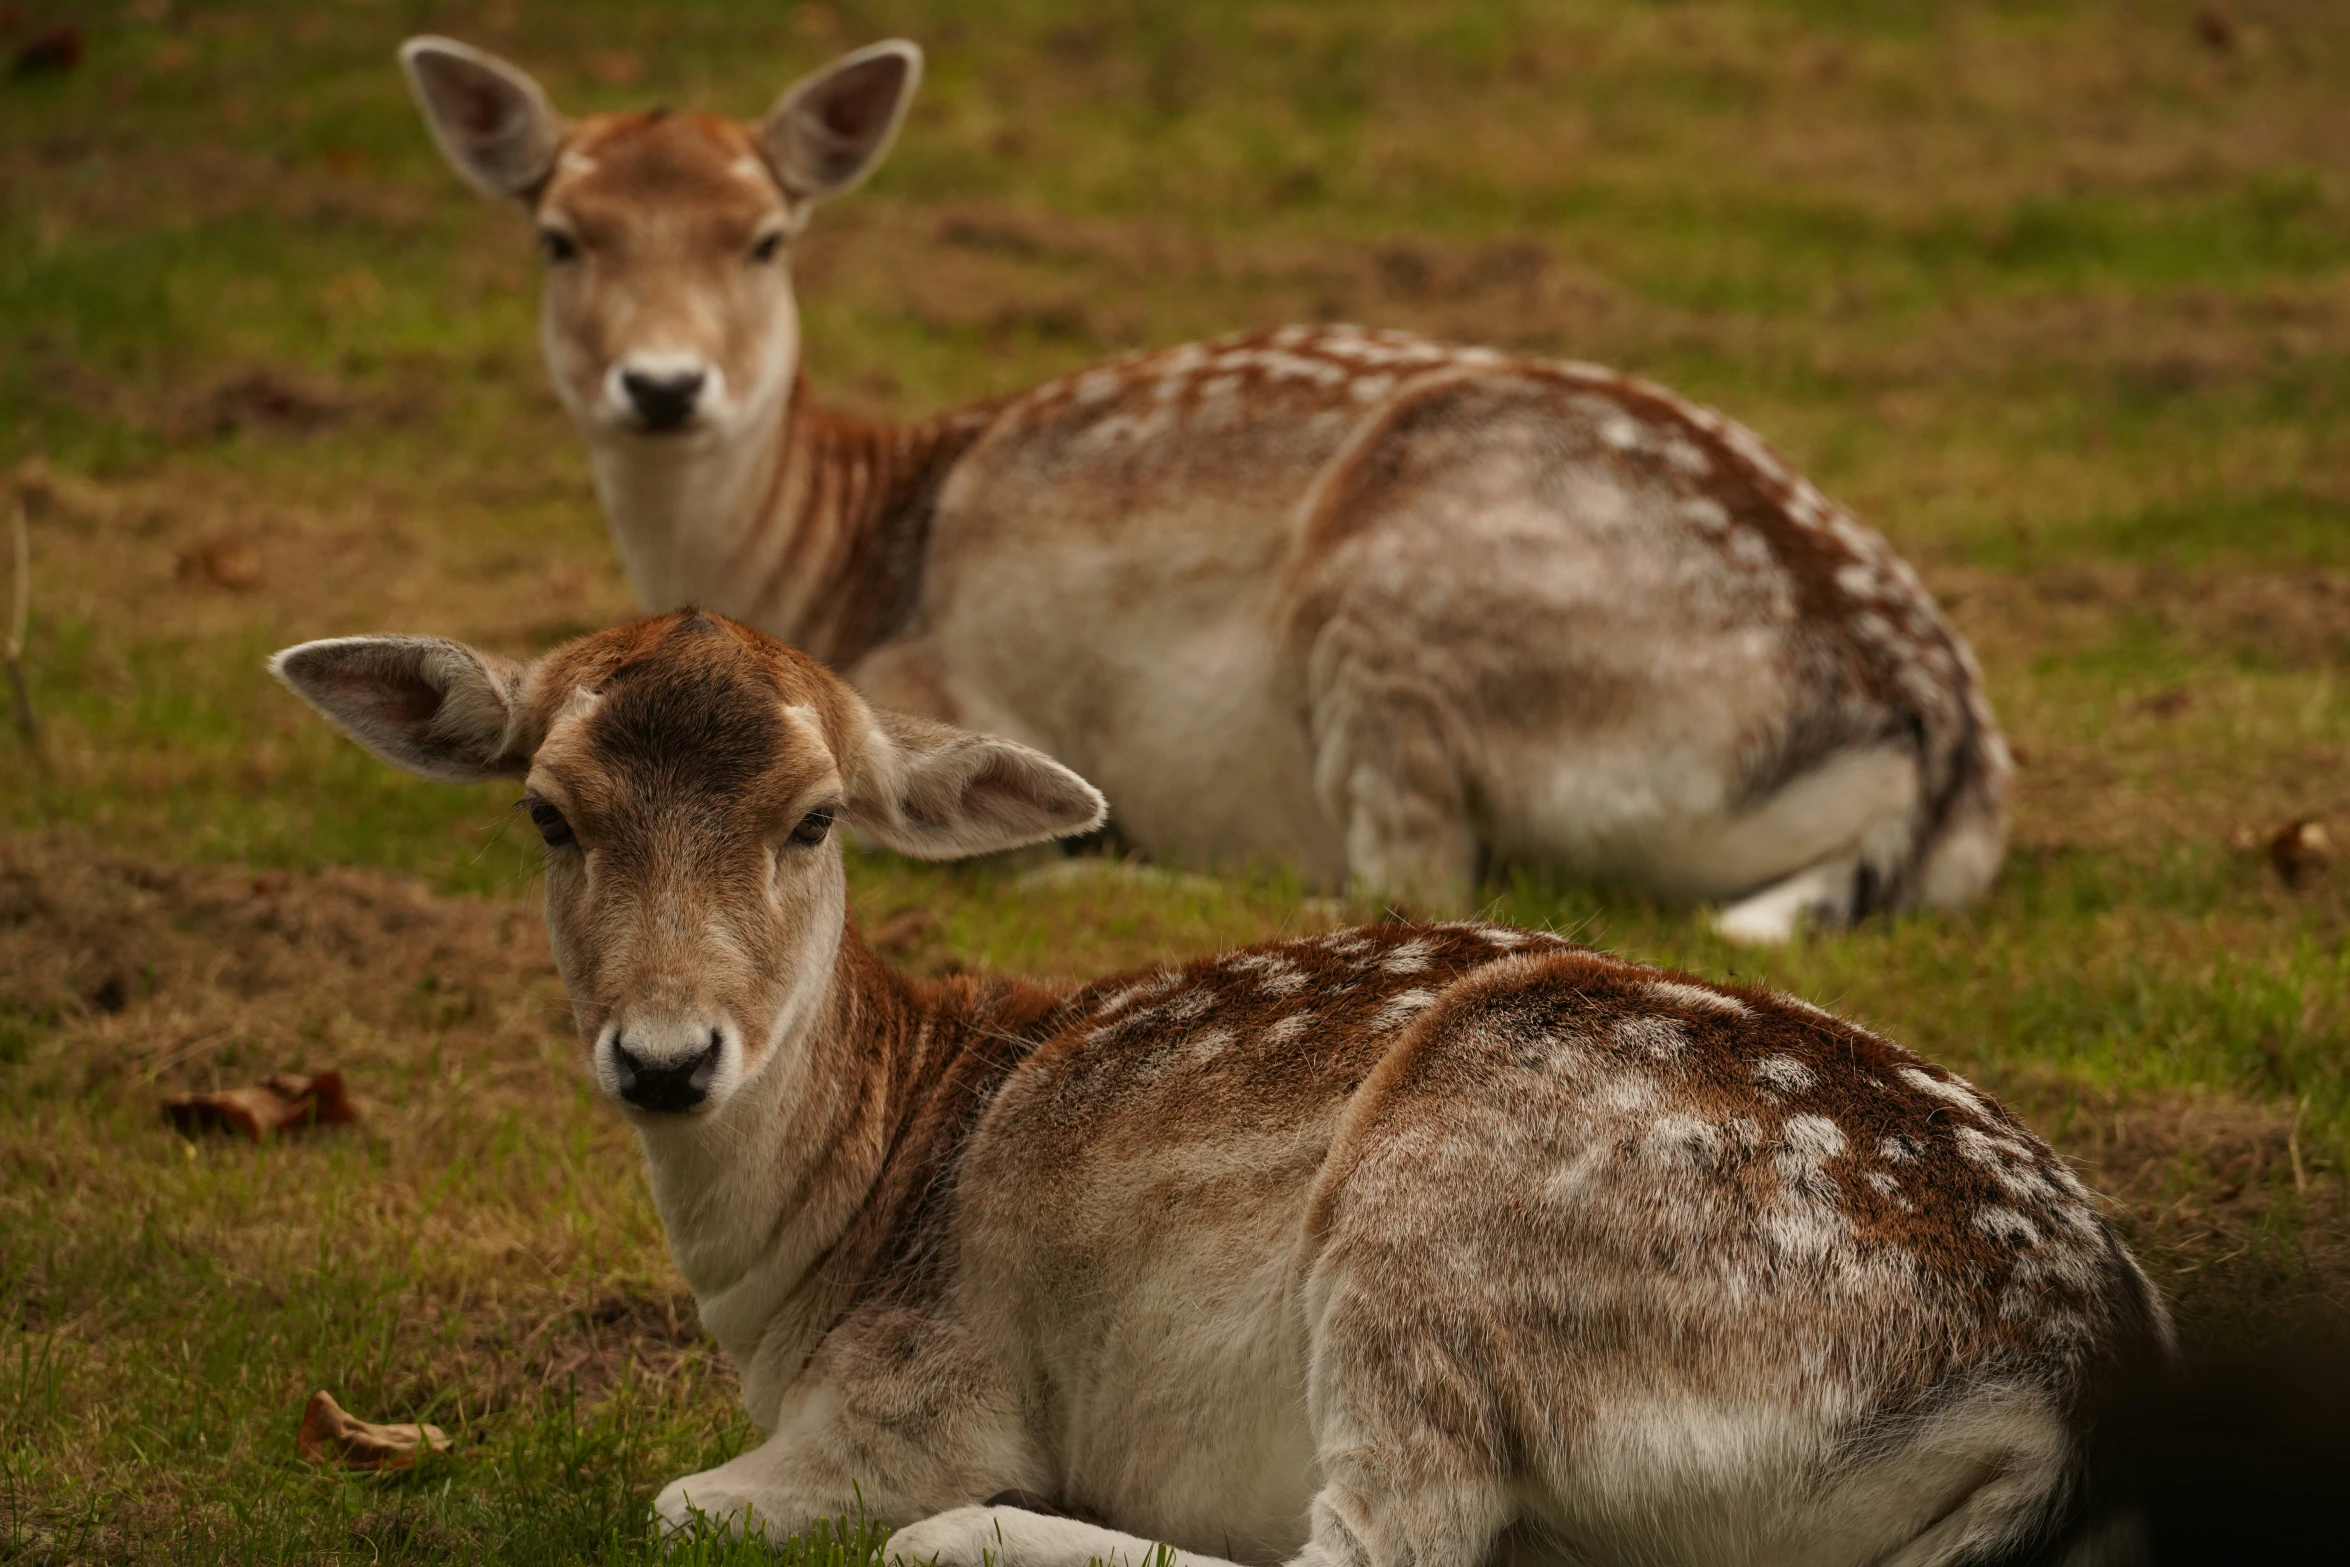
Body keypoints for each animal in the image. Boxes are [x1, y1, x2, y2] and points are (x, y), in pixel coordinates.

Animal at [274, 610, 2162, 1567]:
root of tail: (2067, 1391)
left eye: (812, 818)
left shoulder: (919, 1391)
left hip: (1440, 1231)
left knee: (1379, 1545)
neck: (809, 1265)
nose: (665, 1056)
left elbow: (676, 1500)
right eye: (548, 812)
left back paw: (994, 1533)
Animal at [394, 36, 2011, 944]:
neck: (828, 552)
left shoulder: (928, 684)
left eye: (765, 235)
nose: (664, 386)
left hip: (1395, 606)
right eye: (558, 234)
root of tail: (1932, 741)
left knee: (1414, 872)